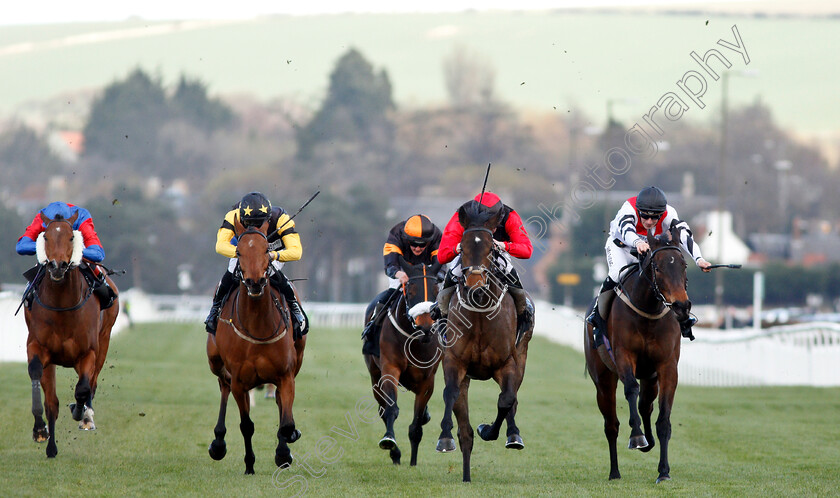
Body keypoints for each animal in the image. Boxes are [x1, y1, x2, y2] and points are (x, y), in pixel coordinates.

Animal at [24, 210, 118, 460]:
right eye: (45, 237)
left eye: (71, 238)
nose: (57, 266)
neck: (62, 306)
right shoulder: (38, 348)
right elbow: (45, 393)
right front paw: (42, 432)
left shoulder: (88, 353)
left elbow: (83, 388)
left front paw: (80, 412)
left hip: (104, 342)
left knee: (91, 383)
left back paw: (86, 415)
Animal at [206, 219, 306, 474]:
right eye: (240, 252)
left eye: (265, 251)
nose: (255, 281)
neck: (258, 325)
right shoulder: (239, 382)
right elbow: (246, 425)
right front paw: (249, 464)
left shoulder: (286, 375)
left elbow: (286, 424)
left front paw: (284, 453)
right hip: (215, 362)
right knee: (223, 387)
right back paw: (218, 443)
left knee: (280, 402)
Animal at [368, 256, 446, 466]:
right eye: (410, 291)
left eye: (436, 291)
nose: (426, 327)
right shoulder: (390, 368)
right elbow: (391, 409)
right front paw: (390, 441)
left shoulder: (427, 379)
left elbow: (417, 423)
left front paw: (413, 462)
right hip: (374, 375)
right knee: (382, 407)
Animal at [436, 200, 536, 480]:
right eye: (464, 246)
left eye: (491, 248)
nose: (475, 284)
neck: (480, 311)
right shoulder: (454, 362)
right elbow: (450, 393)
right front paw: (444, 438)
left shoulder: (507, 363)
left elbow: (506, 400)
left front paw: (490, 430)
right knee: (464, 429)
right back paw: (466, 475)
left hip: (521, 356)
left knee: (512, 398)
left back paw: (512, 435)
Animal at [584, 226, 688, 482]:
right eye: (658, 267)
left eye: (683, 266)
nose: (681, 306)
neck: (648, 309)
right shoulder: (624, 356)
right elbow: (631, 389)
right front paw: (637, 437)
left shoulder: (667, 366)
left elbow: (663, 419)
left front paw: (664, 471)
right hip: (603, 380)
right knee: (611, 424)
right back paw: (615, 471)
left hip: (650, 377)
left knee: (645, 405)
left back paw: (649, 442)